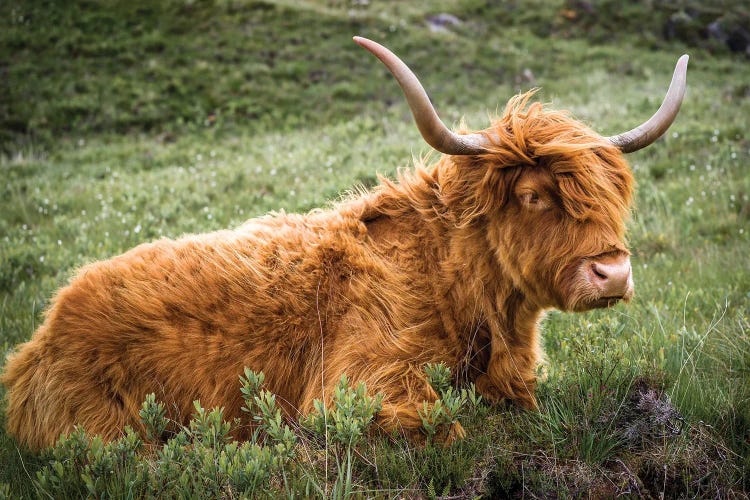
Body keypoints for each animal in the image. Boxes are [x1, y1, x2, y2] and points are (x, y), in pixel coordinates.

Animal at [1, 38, 692, 450]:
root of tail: (39, 341)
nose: (611, 272)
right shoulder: (357, 386)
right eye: (531, 195)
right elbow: (452, 428)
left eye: (614, 195)